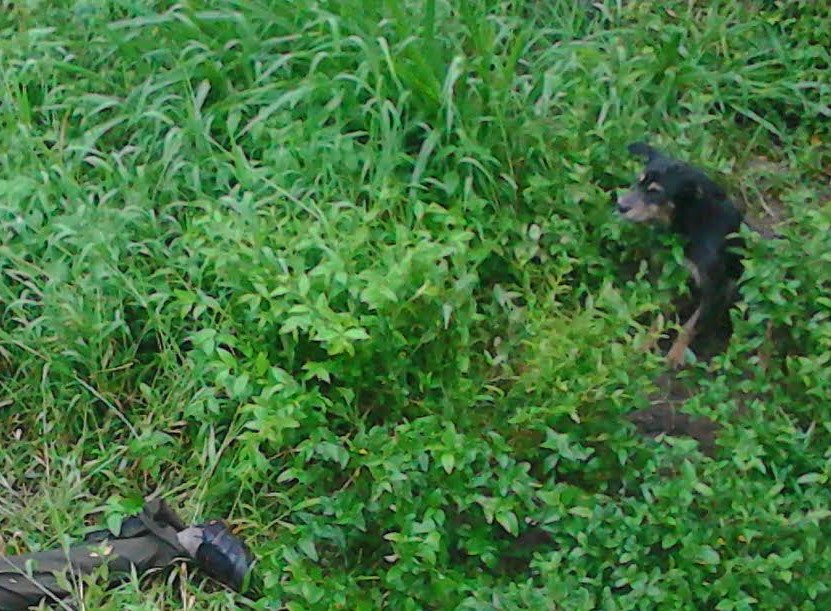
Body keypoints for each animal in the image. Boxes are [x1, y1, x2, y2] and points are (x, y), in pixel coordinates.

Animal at [616, 141, 744, 366]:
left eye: (655, 192)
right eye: (638, 182)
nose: (620, 206)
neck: (687, 225)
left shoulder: (714, 286)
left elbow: (691, 325)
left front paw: (675, 355)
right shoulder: (667, 274)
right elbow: (659, 314)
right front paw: (645, 343)